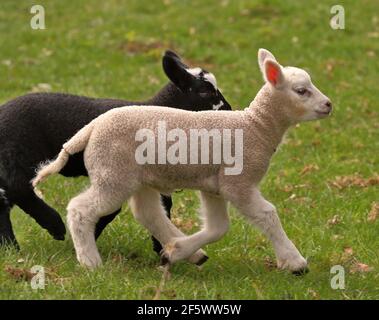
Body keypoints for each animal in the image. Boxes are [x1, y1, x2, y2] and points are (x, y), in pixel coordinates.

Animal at [0, 50, 232, 255]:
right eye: (205, 92)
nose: (229, 110)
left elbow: (161, 208)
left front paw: (161, 247)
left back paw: (10, 247)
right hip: (19, 152)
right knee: (18, 187)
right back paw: (54, 226)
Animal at [33, 48, 332, 274]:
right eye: (302, 91)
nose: (329, 104)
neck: (256, 126)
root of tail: (90, 129)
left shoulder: (214, 187)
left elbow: (218, 227)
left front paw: (176, 252)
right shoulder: (238, 183)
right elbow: (267, 214)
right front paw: (295, 262)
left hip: (137, 177)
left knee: (147, 212)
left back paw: (185, 251)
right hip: (113, 174)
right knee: (81, 209)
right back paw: (90, 262)